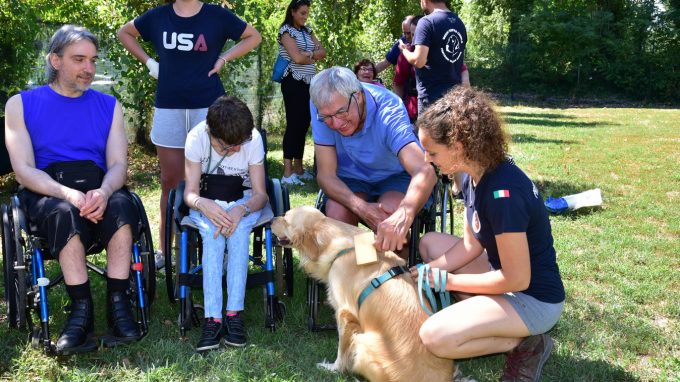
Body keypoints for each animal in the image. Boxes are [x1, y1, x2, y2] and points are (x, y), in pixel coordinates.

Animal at [270, 206, 452, 382]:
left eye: (286, 220)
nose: (271, 219)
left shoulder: (345, 313)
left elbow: (342, 350)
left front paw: (333, 368)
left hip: (363, 342)